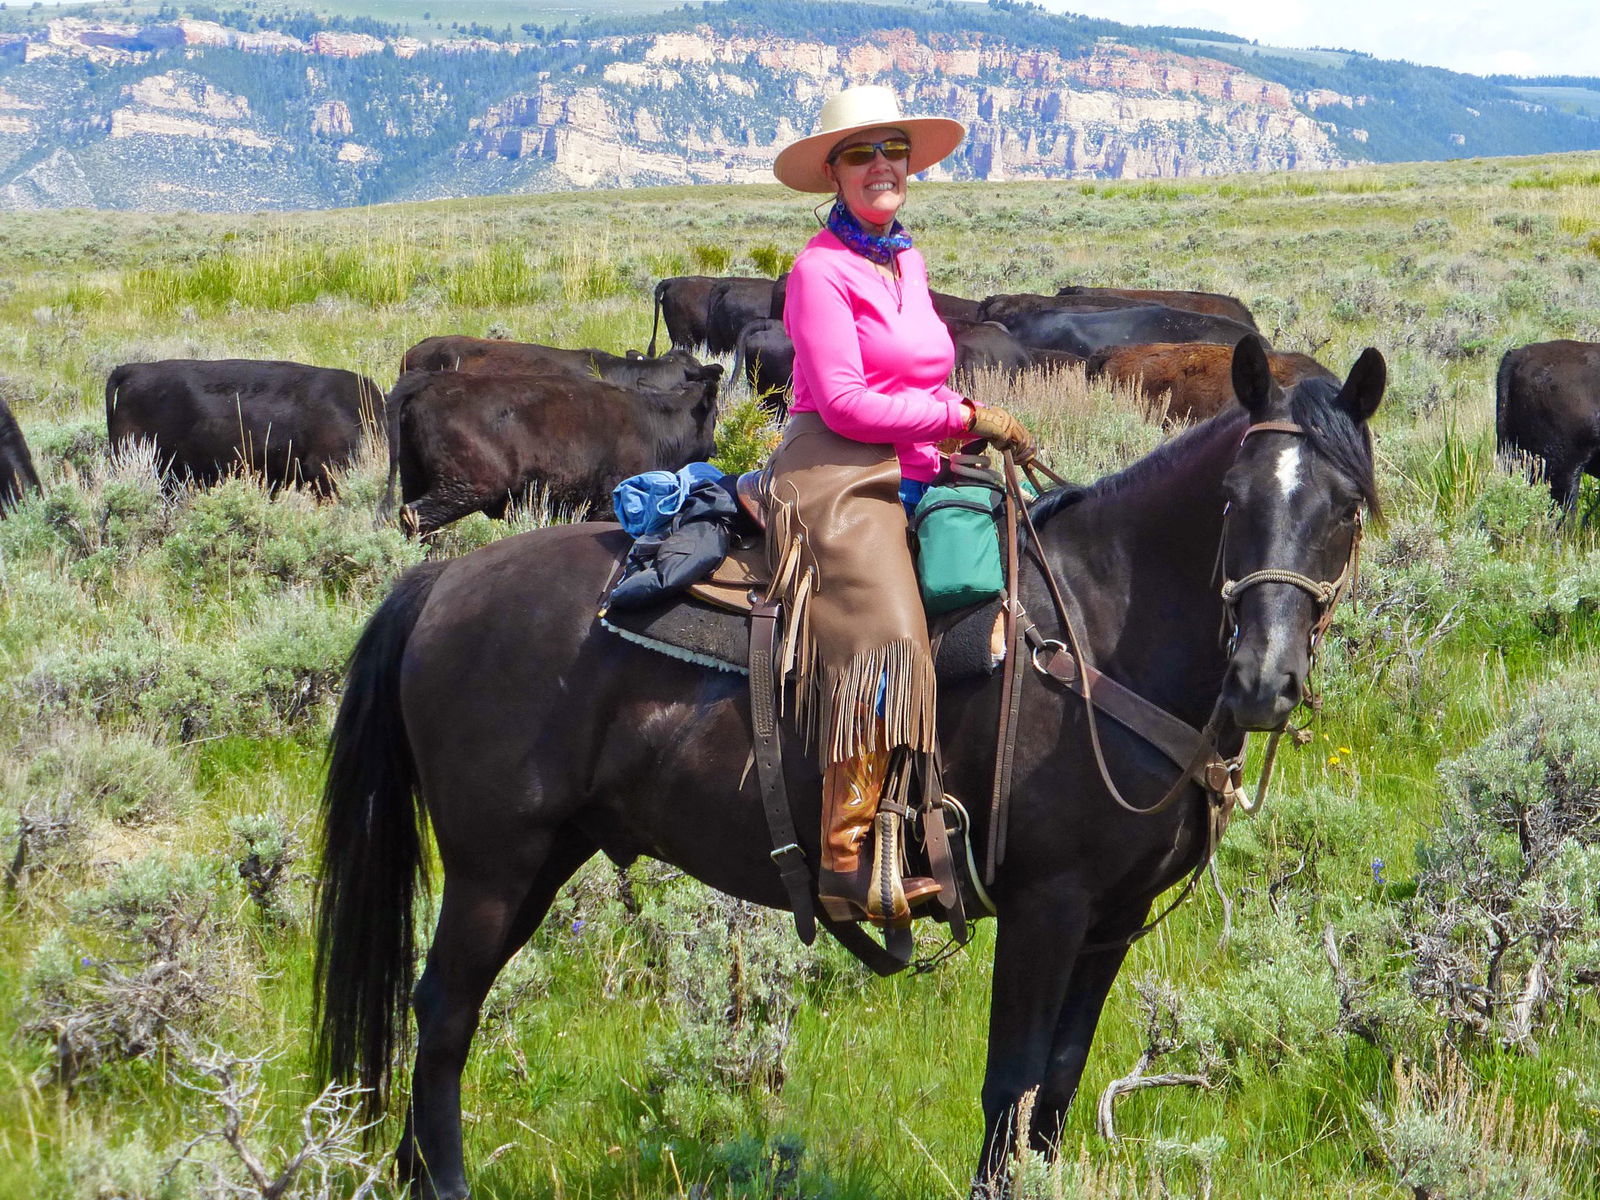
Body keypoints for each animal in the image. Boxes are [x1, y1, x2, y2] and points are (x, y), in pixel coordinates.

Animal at [313, 336, 1385, 1198]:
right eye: (1231, 502)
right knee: (443, 1014)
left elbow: (1057, 1087)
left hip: (544, 857)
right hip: (494, 865)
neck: (1098, 631)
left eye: (1345, 510)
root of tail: (444, 580)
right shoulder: (1045, 905)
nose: (1263, 680)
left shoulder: (1110, 921)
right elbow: (1010, 1085)